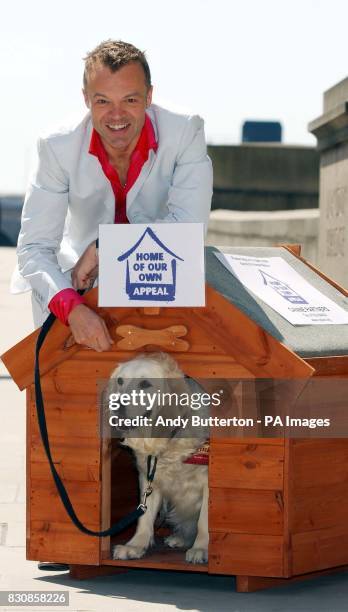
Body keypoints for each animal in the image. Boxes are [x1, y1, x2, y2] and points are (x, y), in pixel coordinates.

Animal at [107, 354, 208, 564]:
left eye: (145, 383)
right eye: (120, 381)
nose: (117, 405)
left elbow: (205, 520)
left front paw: (201, 548)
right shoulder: (148, 478)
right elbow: (144, 517)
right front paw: (135, 546)